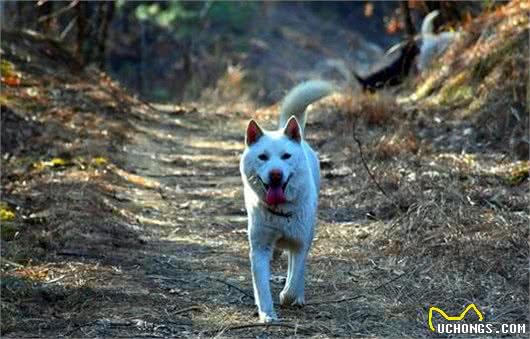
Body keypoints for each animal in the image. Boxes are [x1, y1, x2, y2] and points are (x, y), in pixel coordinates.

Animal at [238, 81, 330, 322]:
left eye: (286, 156)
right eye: (263, 157)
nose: (276, 174)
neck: (280, 212)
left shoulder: (300, 244)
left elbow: (294, 278)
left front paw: (289, 296)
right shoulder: (259, 248)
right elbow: (261, 285)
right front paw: (267, 314)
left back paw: (298, 296)